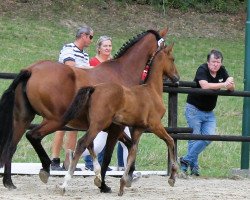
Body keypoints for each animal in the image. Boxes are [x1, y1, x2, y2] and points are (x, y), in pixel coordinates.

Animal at [0, 27, 169, 191]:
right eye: (165, 48)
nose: (171, 78)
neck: (122, 72)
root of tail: (31, 70)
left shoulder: (107, 127)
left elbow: (125, 145)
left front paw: (126, 176)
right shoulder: (115, 127)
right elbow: (112, 152)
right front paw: (106, 182)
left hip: (23, 119)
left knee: (11, 147)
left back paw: (9, 182)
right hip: (56, 120)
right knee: (33, 136)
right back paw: (46, 169)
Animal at [60, 43, 179, 195]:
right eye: (173, 59)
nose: (177, 78)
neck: (152, 90)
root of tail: (94, 88)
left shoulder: (138, 128)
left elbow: (133, 151)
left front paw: (124, 183)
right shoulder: (155, 125)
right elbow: (170, 141)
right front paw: (172, 177)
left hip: (93, 125)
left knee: (89, 145)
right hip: (98, 125)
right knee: (82, 143)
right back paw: (65, 184)